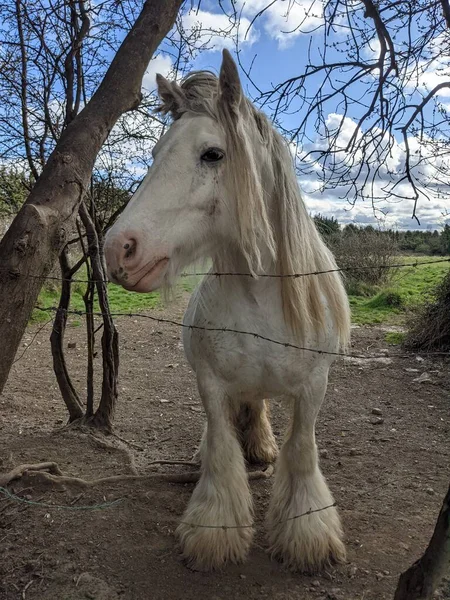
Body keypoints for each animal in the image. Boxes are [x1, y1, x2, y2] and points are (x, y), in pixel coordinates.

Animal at [105, 50, 352, 572]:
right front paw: (213, 532)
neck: (261, 300)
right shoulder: (211, 384)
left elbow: (302, 453)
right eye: (155, 155)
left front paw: (308, 536)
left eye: (212, 154)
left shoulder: (313, 389)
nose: (118, 248)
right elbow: (221, 450)